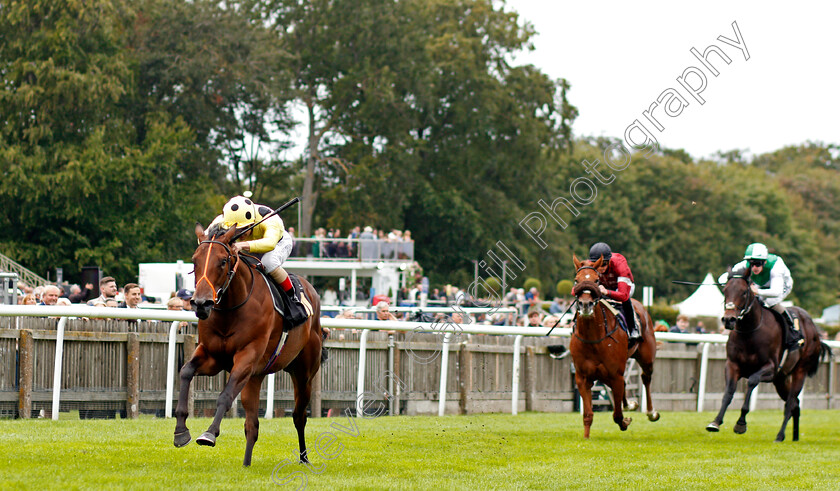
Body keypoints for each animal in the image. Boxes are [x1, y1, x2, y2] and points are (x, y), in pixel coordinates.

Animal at [173, 225, 324, 468]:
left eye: (223, 261)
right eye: (195, 261)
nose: (201, 303)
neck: (231, 308)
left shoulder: (247, 357)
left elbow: (225, 395)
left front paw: (209, 434)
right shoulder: (212, 356)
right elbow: (186, 372)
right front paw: (180, 431)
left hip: (304, 373)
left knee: (299, 415)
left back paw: (304, 458)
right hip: (256, 377)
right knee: (252, 426)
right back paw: (246, 464)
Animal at [568, 254, 660, 438]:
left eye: (596, 280)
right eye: (576, 280)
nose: (585, 305)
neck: (593, 338)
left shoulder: (615, 375)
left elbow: (617, 414)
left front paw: (625, 422)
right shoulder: (582, 377)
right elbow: (588, 414)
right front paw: (586, 438)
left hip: (646, 358)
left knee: (645, 378)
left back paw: (651, 412)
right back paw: (630, 404)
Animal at [704, 270, 832, 444]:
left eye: (744, 292)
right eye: (725, 291)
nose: (729, 319)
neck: (750, 332)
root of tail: (814, 328)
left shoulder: (770, 369)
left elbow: (751, 381)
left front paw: (741, 424)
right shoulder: (732, 365)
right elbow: (728, 391)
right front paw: (715, 422)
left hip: (799, 372)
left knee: (790, 403)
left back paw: (780, 435)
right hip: (781, 380)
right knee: (796, 404)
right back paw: (795, 437)